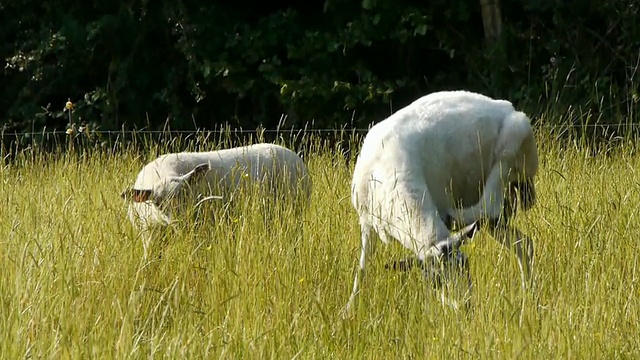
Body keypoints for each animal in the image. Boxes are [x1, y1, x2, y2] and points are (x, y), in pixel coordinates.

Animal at [342, 90, 536, 316]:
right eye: (436, 281)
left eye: (466, 267)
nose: (466, 308)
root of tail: (507, 107)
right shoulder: (366, 222)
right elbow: (362, 269)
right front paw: (348, 310)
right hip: (495, 220)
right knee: (523, 243)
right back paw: (527, 294)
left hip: (511, 147)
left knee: (489, 205)